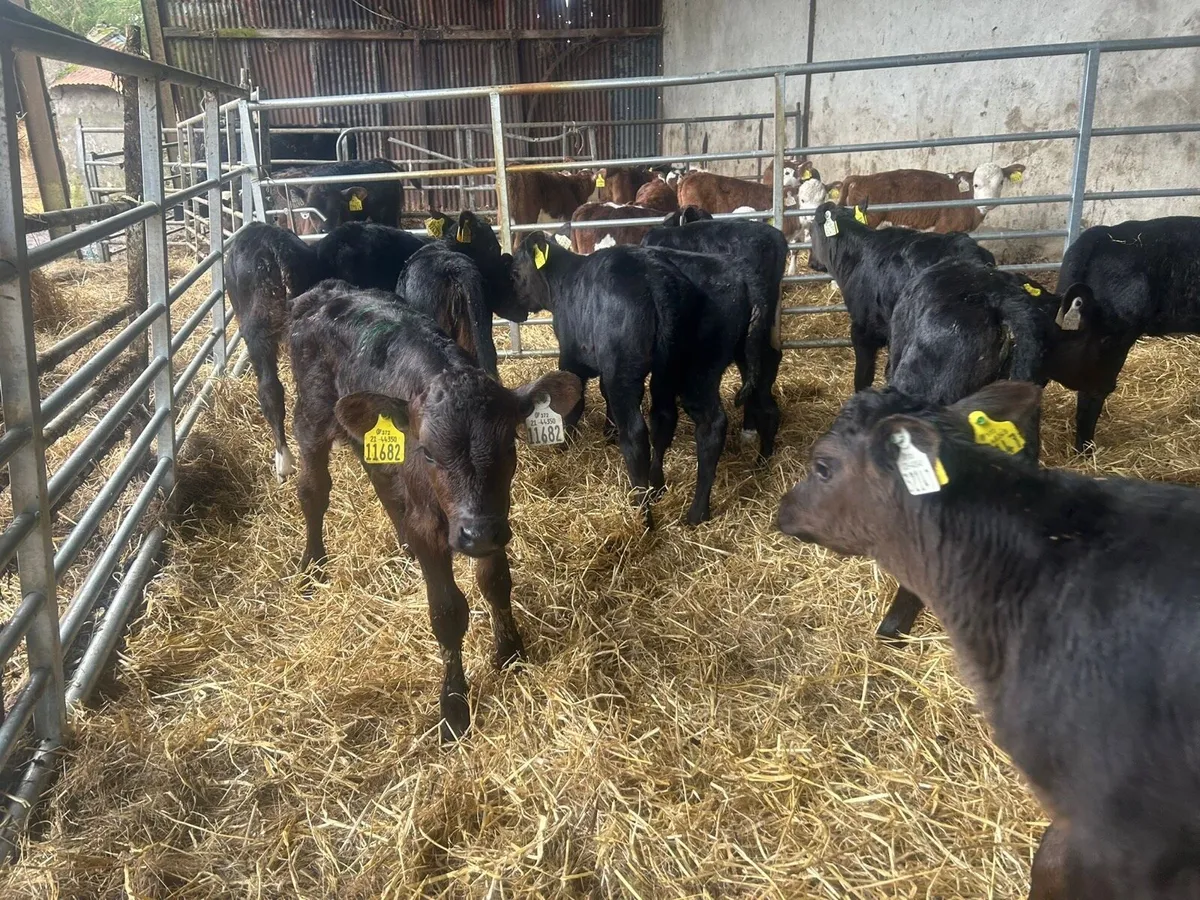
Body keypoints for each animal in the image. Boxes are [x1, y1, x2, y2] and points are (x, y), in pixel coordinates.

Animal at [288, 280, 581, 742]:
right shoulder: (436, 526)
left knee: (380, 476)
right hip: (311, 414)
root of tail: (325, 290)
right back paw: (312, 565)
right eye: (427, 452)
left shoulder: (496, 516)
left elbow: (496, 582)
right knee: (313, 490)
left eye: (510, 446)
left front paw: (510, 651)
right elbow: (447, 611)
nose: (476, 535)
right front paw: (454, 707)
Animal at [509, 232, 751, 526]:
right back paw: (687, 506)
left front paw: (563, 444)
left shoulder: (572, 359)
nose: (516, 307)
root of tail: (656, 277)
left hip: (625, 368)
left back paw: (641, 512)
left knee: (637, 433)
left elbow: (573, 404)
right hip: (696, 369)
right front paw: (608, 431)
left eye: (515, 271)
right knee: (694, 422)